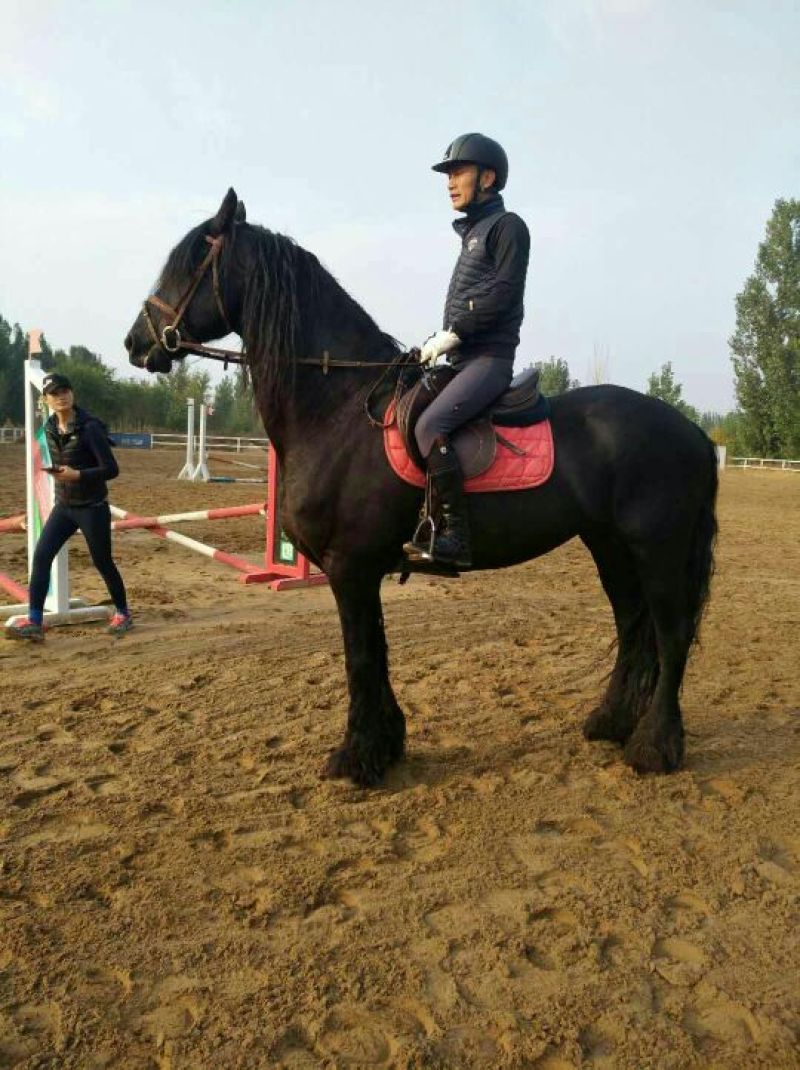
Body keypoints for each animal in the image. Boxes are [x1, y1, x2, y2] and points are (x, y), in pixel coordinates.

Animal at [125, 188, 718, 788]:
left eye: (189, 261)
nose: (135, 343)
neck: (340, 409)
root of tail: (692, 431)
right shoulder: (360, 570)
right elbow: (376, 652)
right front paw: (386, 744)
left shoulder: (350, 567)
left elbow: (361, 656)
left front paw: (357, 757)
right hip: (609, 546)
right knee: (633, 625)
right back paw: (611, 722)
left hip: (657, 548)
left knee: (670, 632)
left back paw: (655, 746)